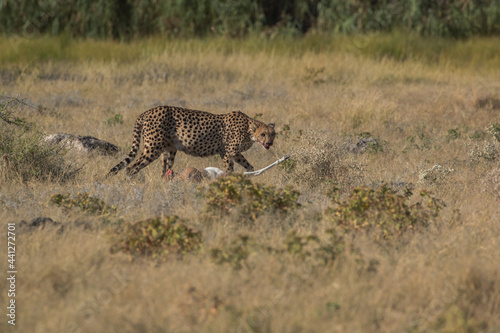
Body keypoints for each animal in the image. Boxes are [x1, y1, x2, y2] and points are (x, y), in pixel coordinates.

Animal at [105, 106, 276, 179]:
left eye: (272, 135)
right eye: (263, 135)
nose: (269, 143)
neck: (249, 130)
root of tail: (147, 111)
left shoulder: (232, 153)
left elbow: (249, 166)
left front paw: (253, 174)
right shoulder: (228, 152)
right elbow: (230, 169)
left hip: (169, 150)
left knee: (164, 170)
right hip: (152, 148)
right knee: (131, 167)